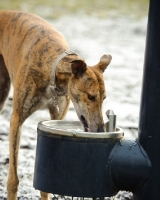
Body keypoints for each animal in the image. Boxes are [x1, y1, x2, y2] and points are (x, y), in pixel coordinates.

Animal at [0, 10, 112, 198]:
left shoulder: (55, 119)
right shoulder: (16, 119)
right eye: (91, 97)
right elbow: (13, 179)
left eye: (104, 98)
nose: (100, 131)